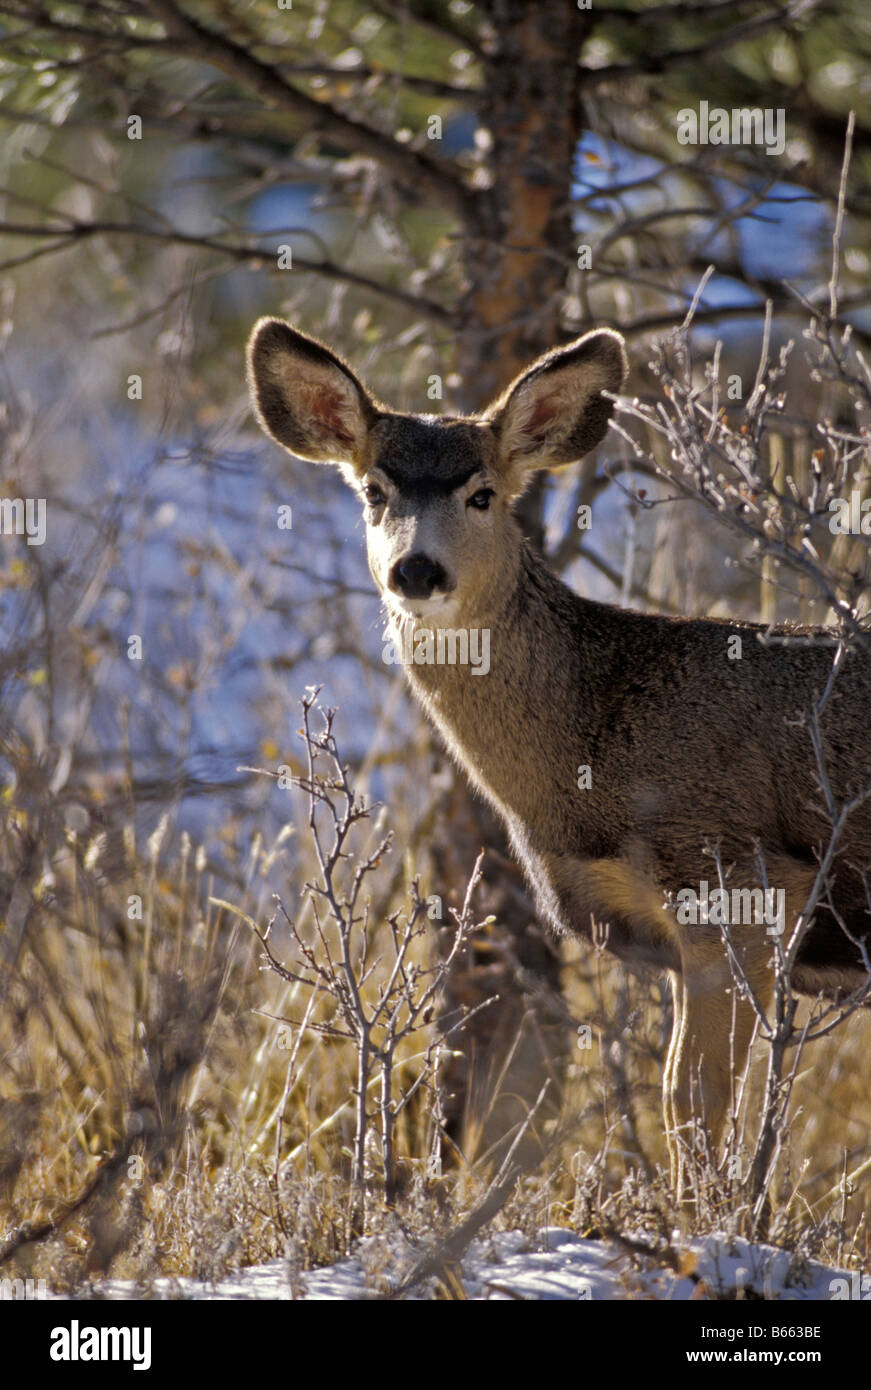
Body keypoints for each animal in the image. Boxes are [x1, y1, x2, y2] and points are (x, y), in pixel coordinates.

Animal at [246, 315, 871, 1187]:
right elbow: (682, 1097)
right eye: (373, 491)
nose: (416, 569)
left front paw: (708, 1212)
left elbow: (694, 1101)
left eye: (481, 494)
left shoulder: (745, 882)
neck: (585, 755)